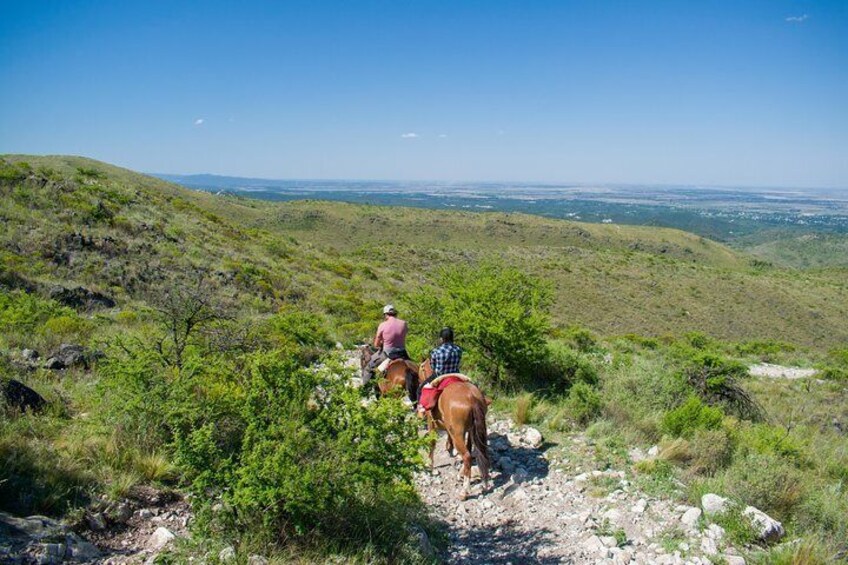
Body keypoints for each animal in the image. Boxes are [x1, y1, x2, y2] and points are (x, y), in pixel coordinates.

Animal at [420, 356, 490, 498]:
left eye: (421, 367)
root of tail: (471, 397)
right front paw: (449, 449)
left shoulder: (431, 423)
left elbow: (432, 443)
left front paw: (430, 466)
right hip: (471, 430)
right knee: (475, 452)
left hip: (458, 433)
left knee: (467, 455)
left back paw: (464, 491)